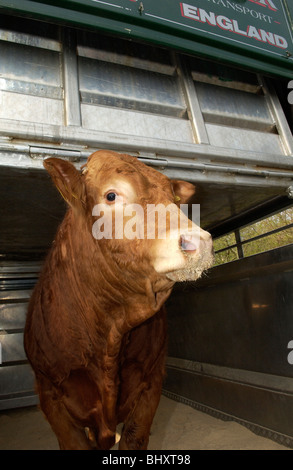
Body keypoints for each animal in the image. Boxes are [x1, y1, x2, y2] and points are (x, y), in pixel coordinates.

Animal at [24, 150, 212, 448]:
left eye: (174, 198)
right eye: (111, 195)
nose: (199, 242)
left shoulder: (151, 383)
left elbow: (134, 438)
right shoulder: (50, 396)